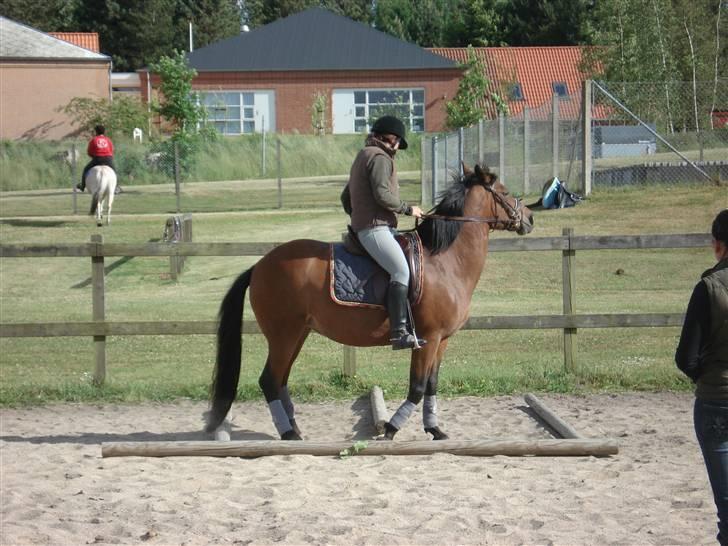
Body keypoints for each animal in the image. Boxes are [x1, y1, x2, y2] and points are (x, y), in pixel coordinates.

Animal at [206, 164, 536, 440]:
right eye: (505, 191)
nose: (530, 218)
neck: (445, 260)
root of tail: (259, 266)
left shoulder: (441, 341)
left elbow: (431, 385)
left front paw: (435, 429)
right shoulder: (427, 339)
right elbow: (417, 387)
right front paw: (391, 428)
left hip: (296, 334)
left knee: (281, 380)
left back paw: (293, 428)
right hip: (284, 335)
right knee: (269, 380)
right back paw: (288, 433)